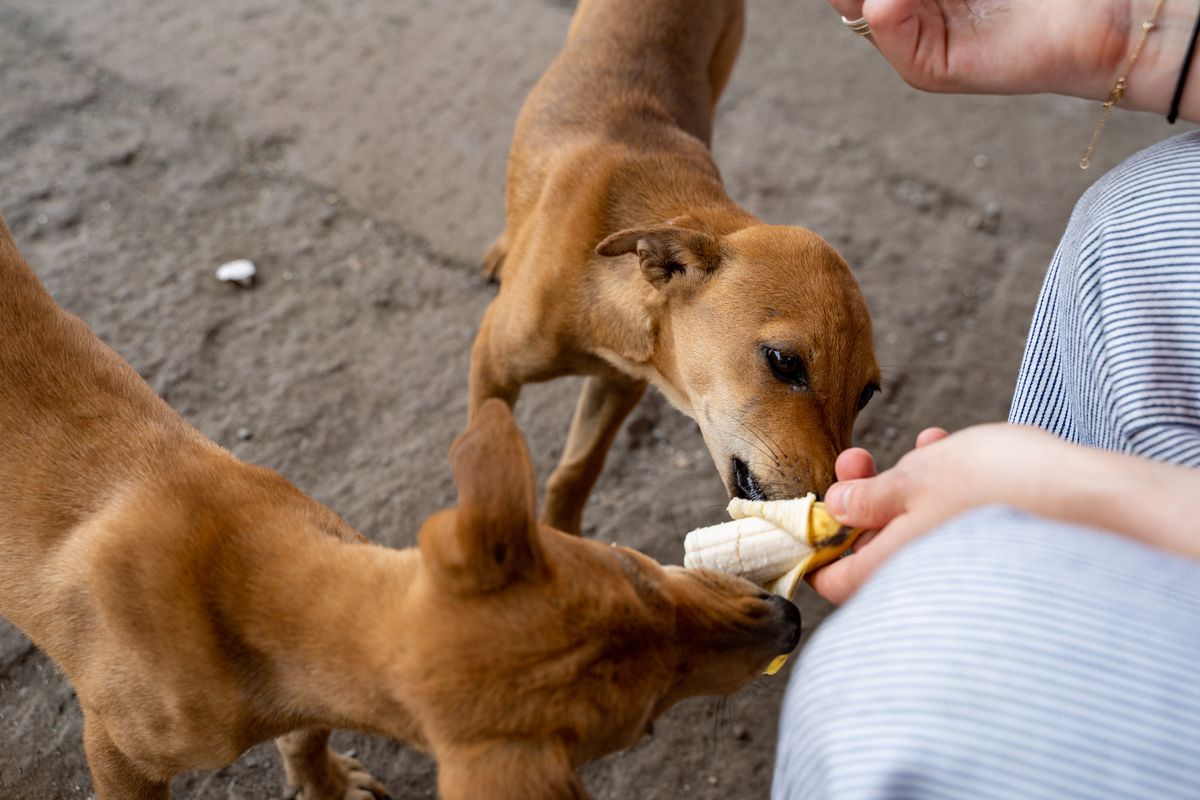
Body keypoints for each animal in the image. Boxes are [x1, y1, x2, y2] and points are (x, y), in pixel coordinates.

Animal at [2, 215, 806, 796]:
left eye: (635, 570)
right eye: (646, 719)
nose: (789, 619)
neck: (246, 587)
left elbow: (308, 732)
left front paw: (323, 782)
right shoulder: (117, 751)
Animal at [468, 1, 883, 537]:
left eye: (868, 393)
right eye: (784, 361)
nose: (843, 524)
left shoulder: (619, 385)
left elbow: (578, 470)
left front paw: (564, 538)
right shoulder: (491, 364)